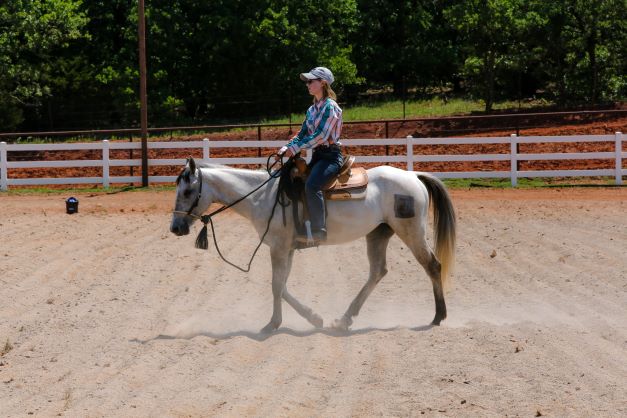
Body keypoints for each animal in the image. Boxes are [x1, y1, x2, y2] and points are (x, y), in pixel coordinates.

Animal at [172, 157, 456, 334]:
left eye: (187, 191)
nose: (175, 227)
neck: (263, 196)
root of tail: (413, 176)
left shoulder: (278, 247)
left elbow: (276, 286)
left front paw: (273, 324)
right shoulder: (286, 248)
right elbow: (282, 286)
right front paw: (314, 318)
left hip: (411, 232)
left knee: (432, 265)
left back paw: (439, 316)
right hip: (378, 234)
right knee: (377, 272)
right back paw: (343, 319)